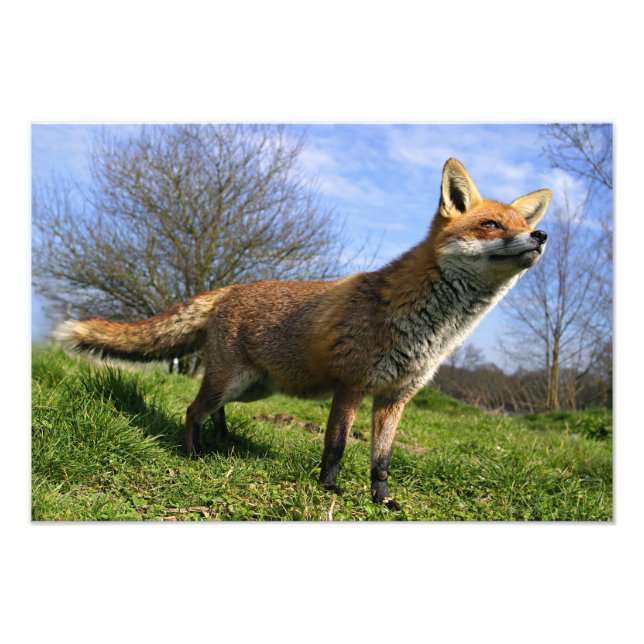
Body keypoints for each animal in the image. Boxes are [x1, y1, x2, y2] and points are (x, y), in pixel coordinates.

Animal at [55, 158, 551, 510]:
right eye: (491, 225)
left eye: (523, 226)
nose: (542, 236)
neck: (431, 330)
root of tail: (231, 287)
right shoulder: (352, 386)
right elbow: (335, 447)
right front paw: (328, 491)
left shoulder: (395, 398)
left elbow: (381, 461)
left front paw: (381, 501)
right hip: (232, 381)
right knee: (192, 409)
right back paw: (196, 454)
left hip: (253, 388)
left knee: (212, 411)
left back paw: (223, 443)